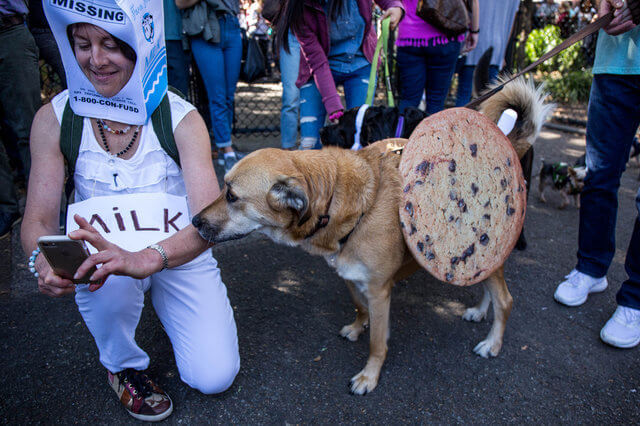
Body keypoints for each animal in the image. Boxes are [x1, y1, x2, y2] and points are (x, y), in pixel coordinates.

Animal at [192, 77, 552, 396]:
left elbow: (378, 343)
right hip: (476, 258)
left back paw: (493, 342)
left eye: (232, 196)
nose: (194, 221)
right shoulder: (350, 276)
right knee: (487, 285)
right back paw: (479, 311)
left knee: (505, 300)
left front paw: (369, 376)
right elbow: (358, 307)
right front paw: (356, 327)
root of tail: (508, 143)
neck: (338, 200)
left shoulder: (380, 291)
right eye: (223, 187)